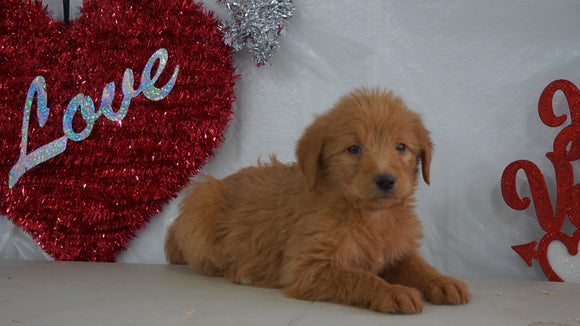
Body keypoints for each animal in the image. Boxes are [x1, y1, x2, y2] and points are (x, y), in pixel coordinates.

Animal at [167, 87, 472, 314]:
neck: (369, 215)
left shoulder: (397, 252)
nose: (386, 180)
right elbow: (360, 276)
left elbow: (418, 266)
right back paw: (242, 272)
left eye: (401, 147)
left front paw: (443, 281)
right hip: (202, 202)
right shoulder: (309, 266)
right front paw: (391, 291)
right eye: (354, 149)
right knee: (207, 263)